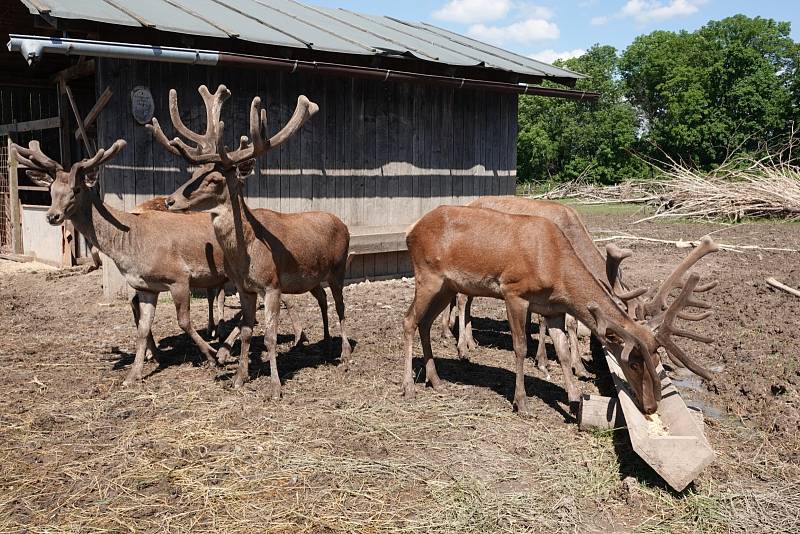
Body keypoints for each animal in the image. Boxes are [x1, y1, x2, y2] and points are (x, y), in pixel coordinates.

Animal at [11, 140, 238, 388]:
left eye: (76, 190)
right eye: (51, 191)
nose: (52, 216)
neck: (131, 244)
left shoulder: (178, 277)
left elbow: (184, 322)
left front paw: (211, 355)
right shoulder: (146, 286)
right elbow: (142, 328)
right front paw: (133, 375)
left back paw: (224, 348)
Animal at [151, 86, 350, 396]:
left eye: (215, 179)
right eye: (193, 173)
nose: (171, 200)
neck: (248, 254)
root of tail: (343, 223)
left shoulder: (272, 284)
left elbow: (269, 337)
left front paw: (276, 386)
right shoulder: (245, 288)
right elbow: (246, 331)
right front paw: (239, 377)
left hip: (340, 267)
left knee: (341, 305)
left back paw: (345, 355)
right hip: (312, 277)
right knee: (322, 298)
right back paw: (327, 347)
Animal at [404, 207, 720, 416]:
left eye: (656, 358)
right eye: (632, 363)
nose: (652, 406)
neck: (557, 269)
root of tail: (410, 231)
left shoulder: (552, 308)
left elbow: (564, 351)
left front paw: (575, 396)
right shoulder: (514, 291)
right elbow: (520, 347)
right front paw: (522, 402)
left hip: (447, 284)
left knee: (424, 322)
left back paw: (435, 379)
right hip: (427, 275)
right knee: (409, 320)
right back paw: (409, 386)